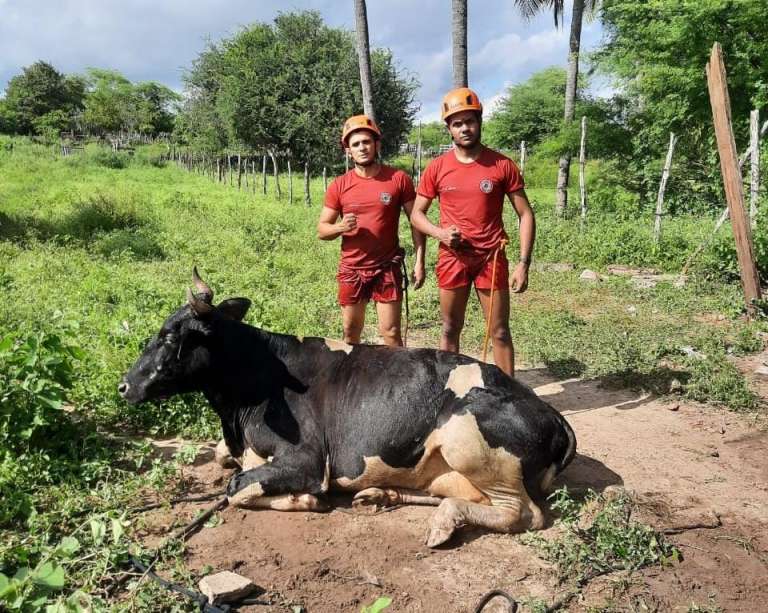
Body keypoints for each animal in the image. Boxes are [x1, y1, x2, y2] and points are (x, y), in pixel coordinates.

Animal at [120, 268, 576, 544]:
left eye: (169, 336)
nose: (124, 386)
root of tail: (552, 415)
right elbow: (222, 460)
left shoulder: (306, 459)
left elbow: (236, 488)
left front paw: (306, 501)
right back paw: (380, 494)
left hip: (466, 440)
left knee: (522, 514)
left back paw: (444, 521)